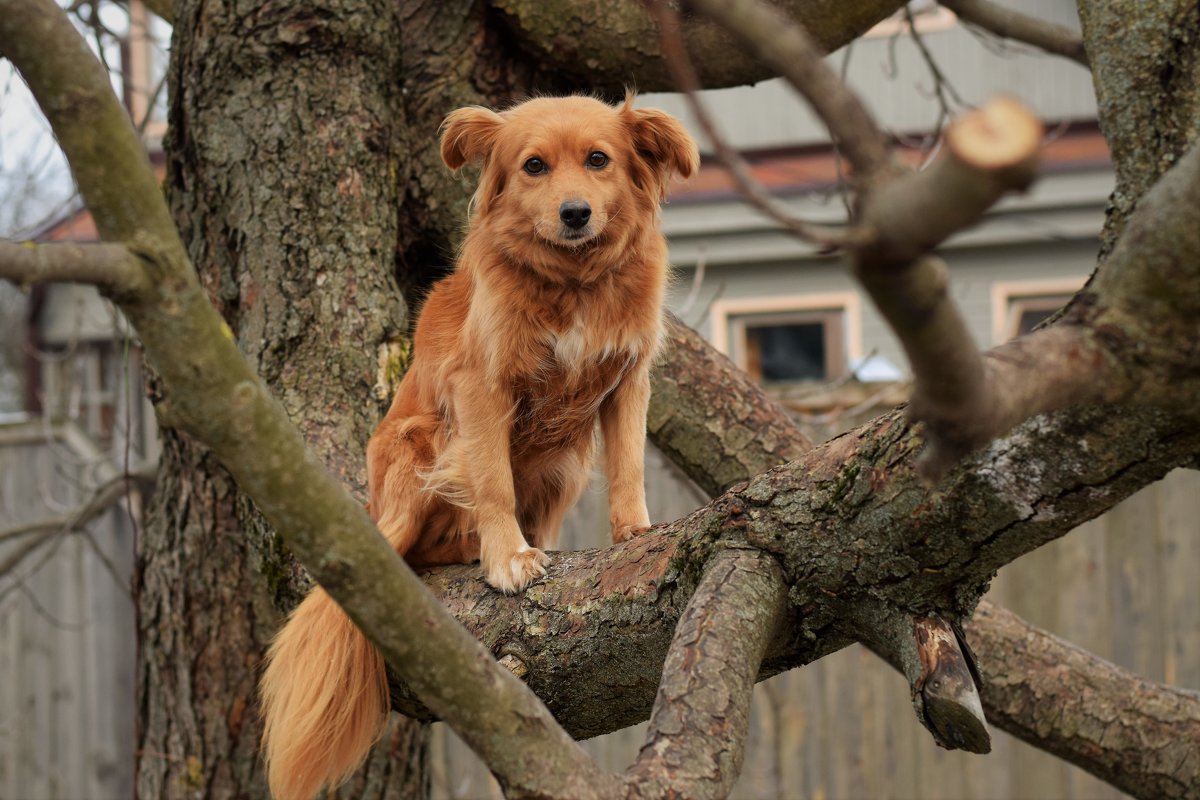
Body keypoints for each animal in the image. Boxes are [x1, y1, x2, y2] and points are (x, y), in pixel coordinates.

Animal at [258, 90, 700, 796]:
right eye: (534, 166)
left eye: (598, 160)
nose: (575, 214)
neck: (574, 280)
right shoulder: (482, 387)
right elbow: (492, 482)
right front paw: (505, 557)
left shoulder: (628, 380)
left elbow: (630, 463)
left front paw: (634, 531)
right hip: (420, 446)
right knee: (424, 543)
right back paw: (470, 546)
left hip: (562, 466)